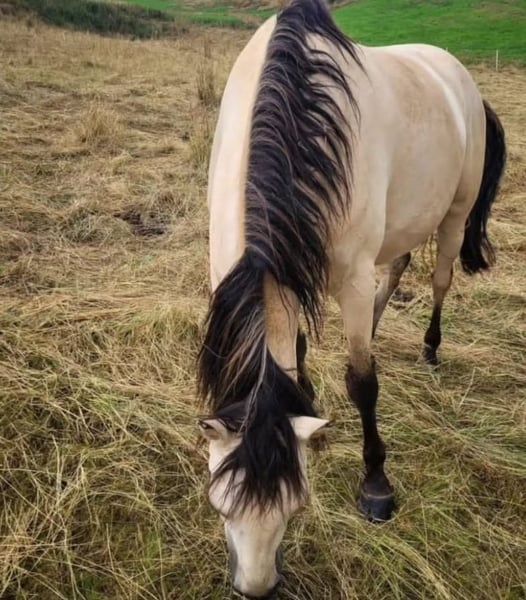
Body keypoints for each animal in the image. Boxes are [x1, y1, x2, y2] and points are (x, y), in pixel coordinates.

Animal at [197, 0, 506, 596]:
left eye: (296, 507)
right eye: (219, 505)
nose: (256, 588)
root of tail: (456, 72)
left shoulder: (353, 279)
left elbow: (363, 383)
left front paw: (376, 486)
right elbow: (295, 344)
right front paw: (308, 394)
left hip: (454, 217)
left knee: (439, 279)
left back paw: (431, 348)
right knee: (399, 265)